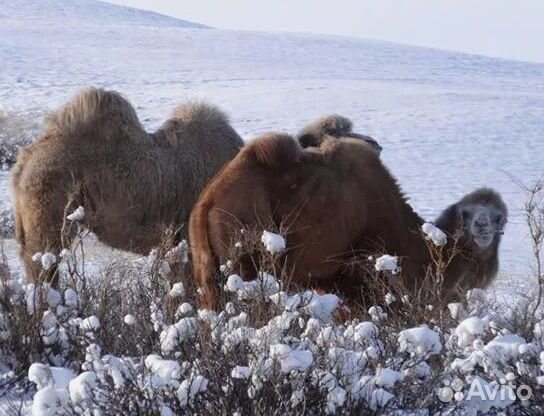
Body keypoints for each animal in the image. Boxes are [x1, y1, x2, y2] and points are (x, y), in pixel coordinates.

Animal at [189, 133, 508, 308]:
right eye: (466, 214)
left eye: (499, 219)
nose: (482, 227)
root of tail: (208, 201)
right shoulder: (356, 280)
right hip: (247, 256)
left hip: (207, 267)